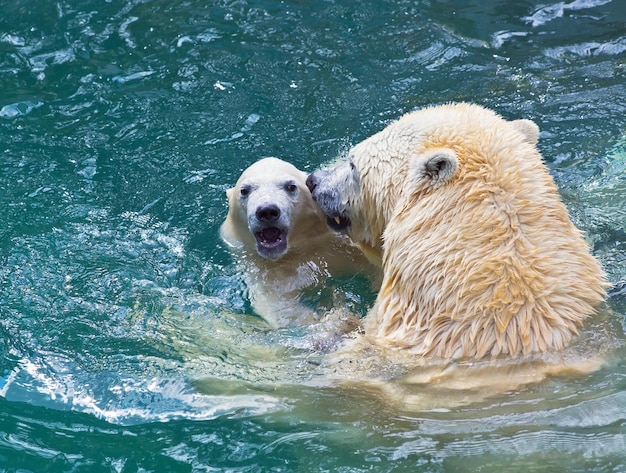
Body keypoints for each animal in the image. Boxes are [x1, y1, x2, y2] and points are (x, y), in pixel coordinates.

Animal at [221, 157, 372, 326]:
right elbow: (279, 305)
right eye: (244, 190)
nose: (267, 211)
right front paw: (338, 320)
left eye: (291, 186)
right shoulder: (263, 269)